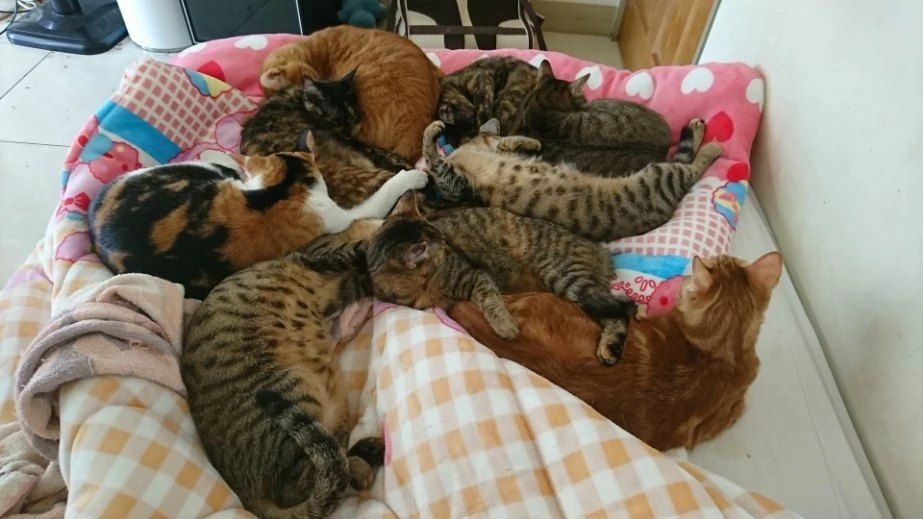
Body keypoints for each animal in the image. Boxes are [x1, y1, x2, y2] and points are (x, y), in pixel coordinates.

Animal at [181, 219, 385, 518]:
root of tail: (244, 495)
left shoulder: (342, 287)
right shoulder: (319, 256)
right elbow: (362, 247)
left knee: (330, 456)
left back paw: (369, 452)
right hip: (294, 390)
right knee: (308, 480)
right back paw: (360, 467)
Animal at [365, 193, 635, 364]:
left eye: (443, 242)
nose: (448, 246)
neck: (424, 286)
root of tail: (599, 249)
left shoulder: (475, 275)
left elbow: (490, 300)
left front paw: (505, 325)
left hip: (568, 280)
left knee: (622, 310)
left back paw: (611, 346)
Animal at [422, 118, 721, 242]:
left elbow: (511, 143)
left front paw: (530, 143)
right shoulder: (457, 185)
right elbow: (433, 156)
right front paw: (433, 131)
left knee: (685, 164)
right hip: (658, 177)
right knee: (690, 169)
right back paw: (711, 146)